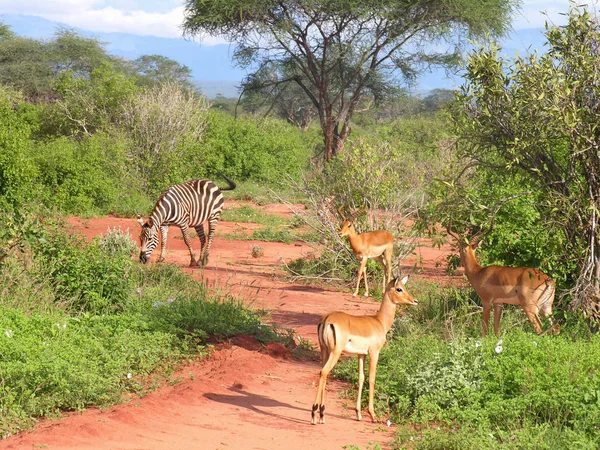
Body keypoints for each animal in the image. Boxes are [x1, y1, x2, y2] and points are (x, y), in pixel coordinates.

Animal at [310, 274, 418, 426]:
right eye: (399, 289)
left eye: (404, 287)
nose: (415, 301)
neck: (380, 322)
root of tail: (327, 320)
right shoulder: (374, 353)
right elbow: (372, 378)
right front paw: (372, 415)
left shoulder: (361, 355)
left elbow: (361, 377)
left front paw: (358, 413)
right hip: (335, 352)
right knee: (324, 372)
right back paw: (314, 413)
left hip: (324, 350)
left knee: (323, 373)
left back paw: (321, 415)